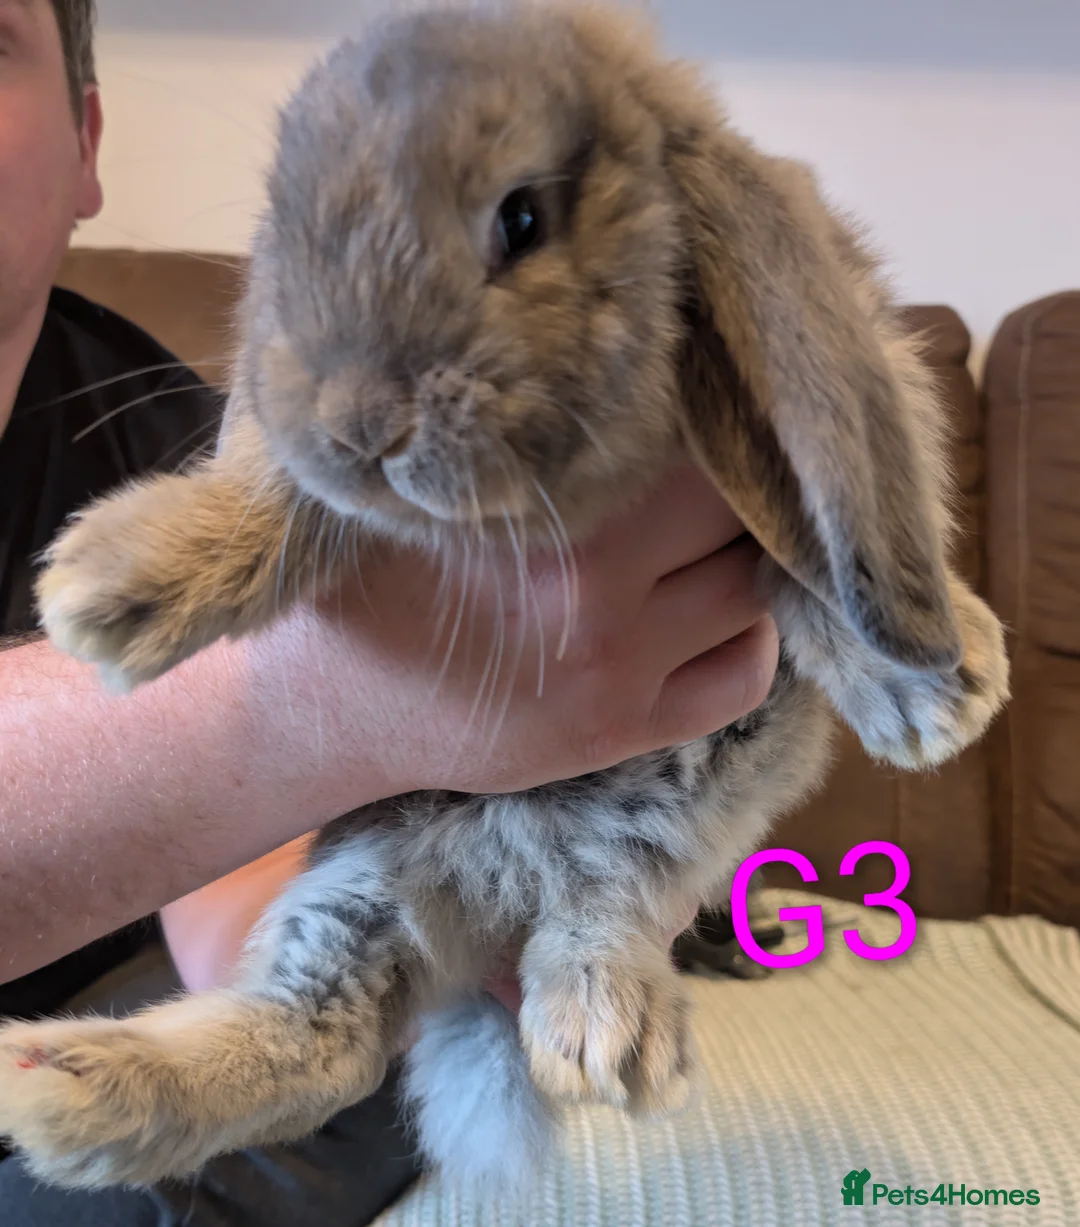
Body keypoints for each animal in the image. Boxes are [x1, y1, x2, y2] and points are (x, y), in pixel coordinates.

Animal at [0, 0, 1008, 1197]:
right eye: (287, 223)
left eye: (522, 218)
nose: (358, 422)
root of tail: (487, 901)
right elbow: (272, 498)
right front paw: (107, 588)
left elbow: (805, 553)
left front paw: (944, 689)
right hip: (363, 877)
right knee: (320, 1041)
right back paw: (61, 1087)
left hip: (676, 820)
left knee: (595, 912)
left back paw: (605, 1028)